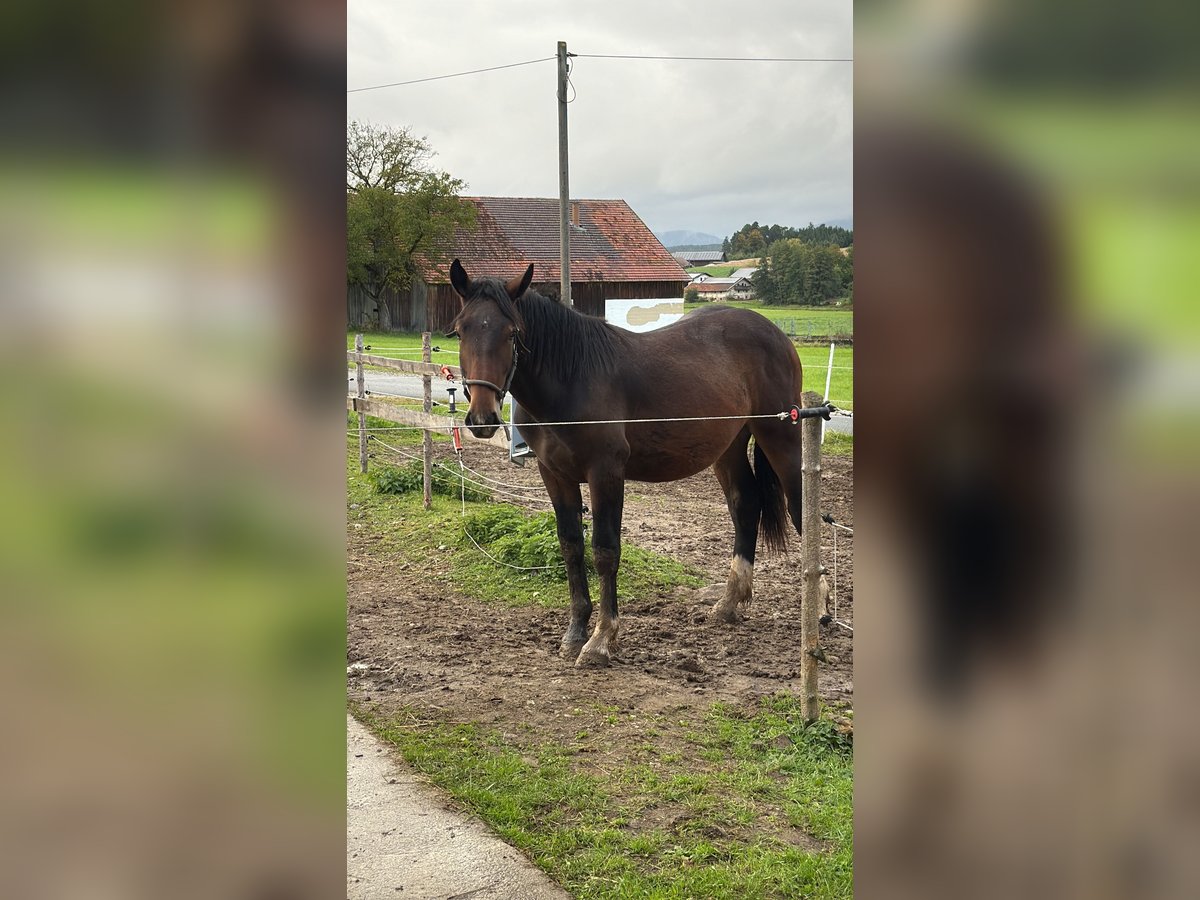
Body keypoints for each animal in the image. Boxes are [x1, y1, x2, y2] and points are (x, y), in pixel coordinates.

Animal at [448, 258, 807, 668]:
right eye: (460, 331)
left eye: (512, 333)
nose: (482, 418)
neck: (571, 378)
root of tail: (773, 332)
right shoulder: (554, 475)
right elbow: (571, 546)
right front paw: (575, 632)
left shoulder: (605, 473)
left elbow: (605, 551)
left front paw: (601, 640)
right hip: (728, 448)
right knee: (746, 506)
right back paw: (729, 604)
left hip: (782, 439)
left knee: (802, 511)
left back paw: (822, 608)